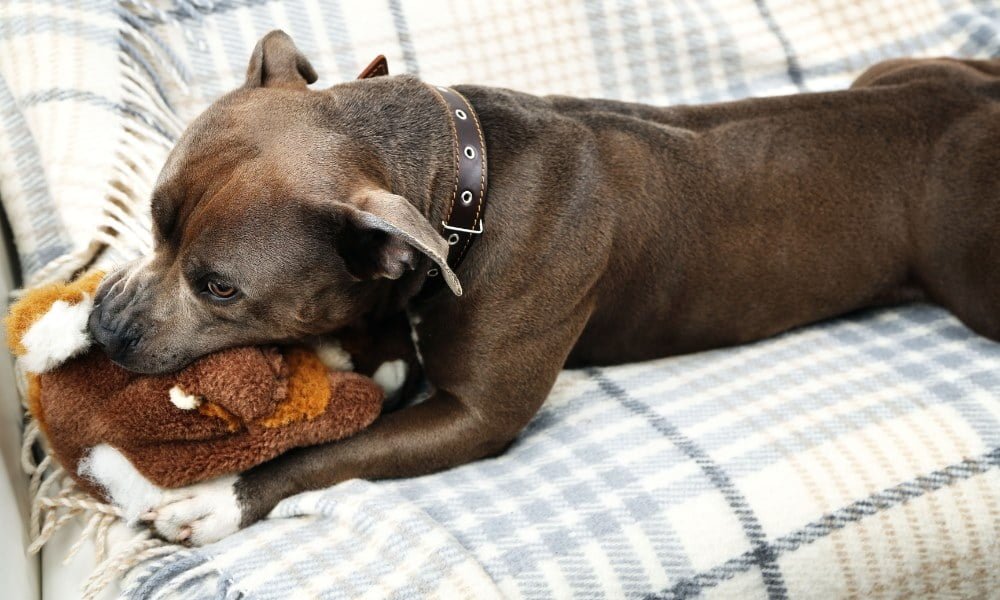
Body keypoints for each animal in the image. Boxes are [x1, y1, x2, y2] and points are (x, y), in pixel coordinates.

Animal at [86, 29, 1000, 544]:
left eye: (219, 288)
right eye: (153, 222)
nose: (104, 327)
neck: (466, 188)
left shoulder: (473, 419)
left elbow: (328, 449)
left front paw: (216, 497)